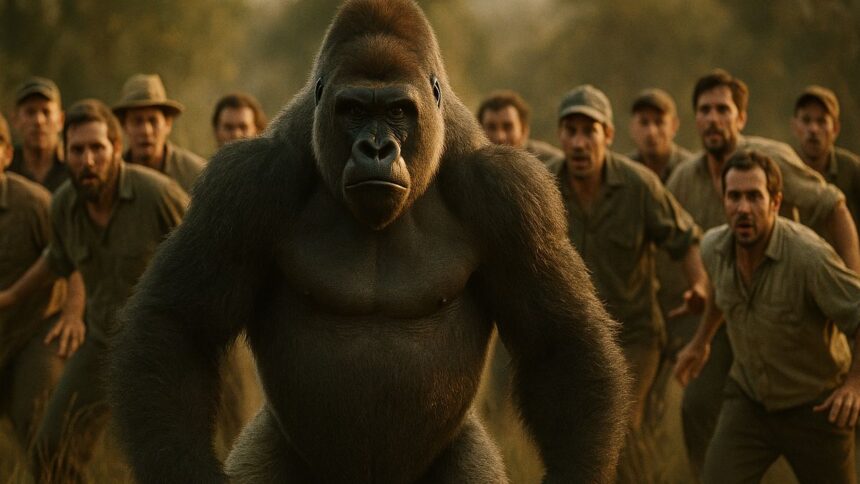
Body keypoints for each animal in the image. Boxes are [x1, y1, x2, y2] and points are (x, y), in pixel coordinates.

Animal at [108, 0, 629, 482]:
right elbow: (180, 326)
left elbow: (559, 342)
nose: (376, 148)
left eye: (397, 110)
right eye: (354, 110)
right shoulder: (242, 184)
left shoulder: (512, 193)